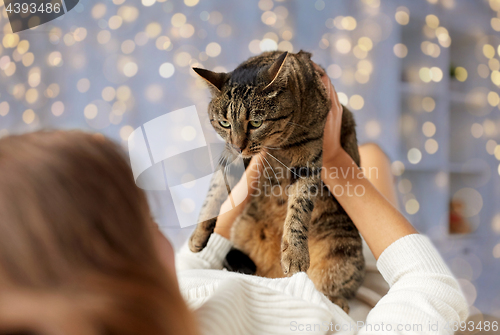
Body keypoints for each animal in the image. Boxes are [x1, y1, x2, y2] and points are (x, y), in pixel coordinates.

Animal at [188, 51, 364, 314]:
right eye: (225, 123)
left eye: (256, 123)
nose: (239, 145)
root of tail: (274, 278)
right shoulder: (230, 157)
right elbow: (214, 193)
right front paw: (198, 235)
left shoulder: (309, 160)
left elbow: (298, 210)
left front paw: (295, 253)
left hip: (342, 251)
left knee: (332, 292)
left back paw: (334, 301)